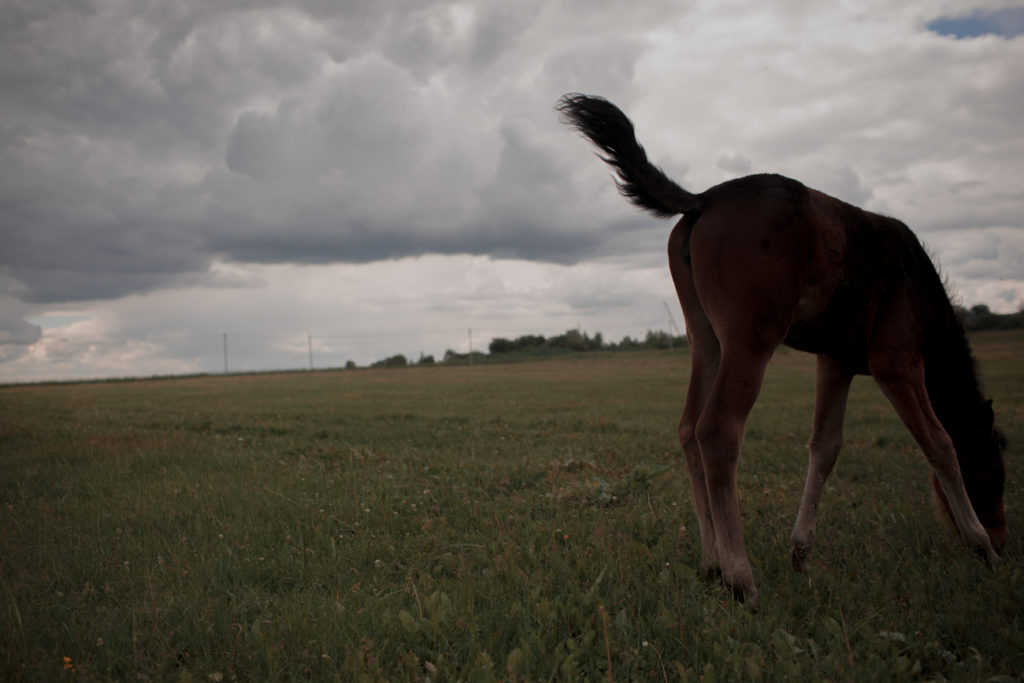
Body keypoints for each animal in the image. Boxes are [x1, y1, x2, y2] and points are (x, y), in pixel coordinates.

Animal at [557, 93, 1003, 606]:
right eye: (996, 469)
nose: (1003, 535)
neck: (918, 283)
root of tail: (703, 199)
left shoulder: (836, 360)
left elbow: (825, 445)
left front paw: (802, 556)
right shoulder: (896, 358)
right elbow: (939, 441)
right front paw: (981, 546)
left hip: (704, 336)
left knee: (688, 427)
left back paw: (712, 563)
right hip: (752, 336)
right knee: (718, 429)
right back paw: (740, 578)